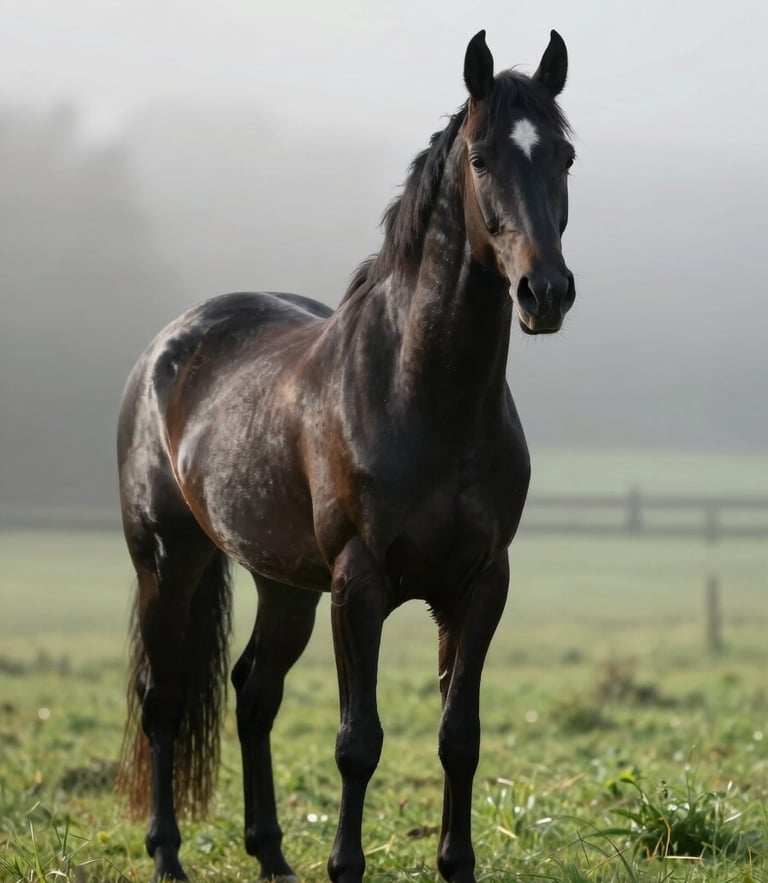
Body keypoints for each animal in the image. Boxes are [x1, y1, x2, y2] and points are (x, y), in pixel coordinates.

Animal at [117, 29, 576, 883]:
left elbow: (458, 736)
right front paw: (345, 864)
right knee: (163, 698)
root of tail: (168, 345)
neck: (425, 396)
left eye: (564, 154)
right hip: (169, 559)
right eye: (482, 157)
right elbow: (357, 742)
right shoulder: (358, 586)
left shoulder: (479, 585)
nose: (546, 292)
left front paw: (455, 863)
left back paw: (271, 854)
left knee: (253, 691)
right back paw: (166, 855)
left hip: (284, 584)